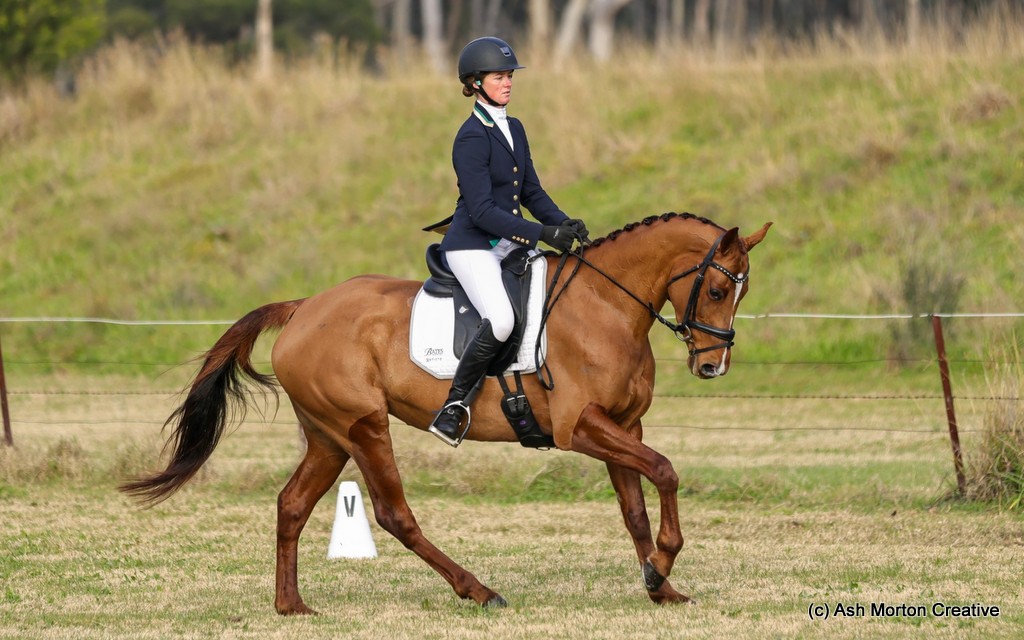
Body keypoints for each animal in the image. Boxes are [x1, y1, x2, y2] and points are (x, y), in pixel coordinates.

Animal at [120, 211, 771, 614]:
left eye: (742, 292)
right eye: (718, 290)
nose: (712, 366)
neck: (606, 305)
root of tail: (305, 306)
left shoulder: (622, 425)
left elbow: (634, 508)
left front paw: (659, 584)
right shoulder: (580, 427)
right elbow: (664, 470)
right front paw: (662, 564)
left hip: (328, 436)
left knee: (292, 505)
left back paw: (292, 605)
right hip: (363, 427)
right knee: (392, 514)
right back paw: (478, 591)